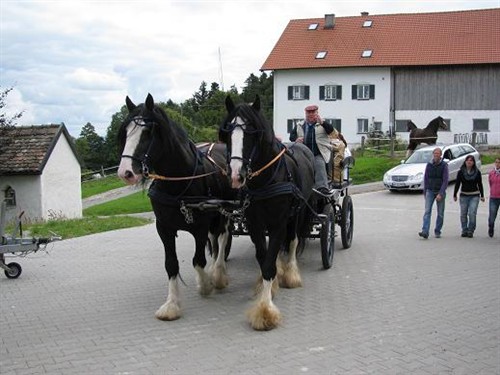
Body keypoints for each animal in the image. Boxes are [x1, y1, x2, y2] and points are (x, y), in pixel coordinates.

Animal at [117, 93, 236, 320]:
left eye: (147, 132)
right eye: (126, 132)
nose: (125, 172)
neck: (179, 182)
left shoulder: (199, 227)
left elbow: (198, 260)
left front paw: (206, 285)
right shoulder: (164, 228)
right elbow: (171, 264)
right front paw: (171, 304)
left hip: (225, 212)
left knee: (223, 237)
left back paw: (218, 274)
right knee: (215, 240)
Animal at [218, 95, 312, 330]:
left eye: (253, 132)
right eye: (227, 133)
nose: (236, 175)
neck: (267, 179)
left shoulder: (279, 222)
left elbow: (270, 262)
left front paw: (265, 310)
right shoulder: (255, 223)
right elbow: (264, 257)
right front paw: (267, 288)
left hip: (297, 214)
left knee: (294, 240)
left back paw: (291, 274)